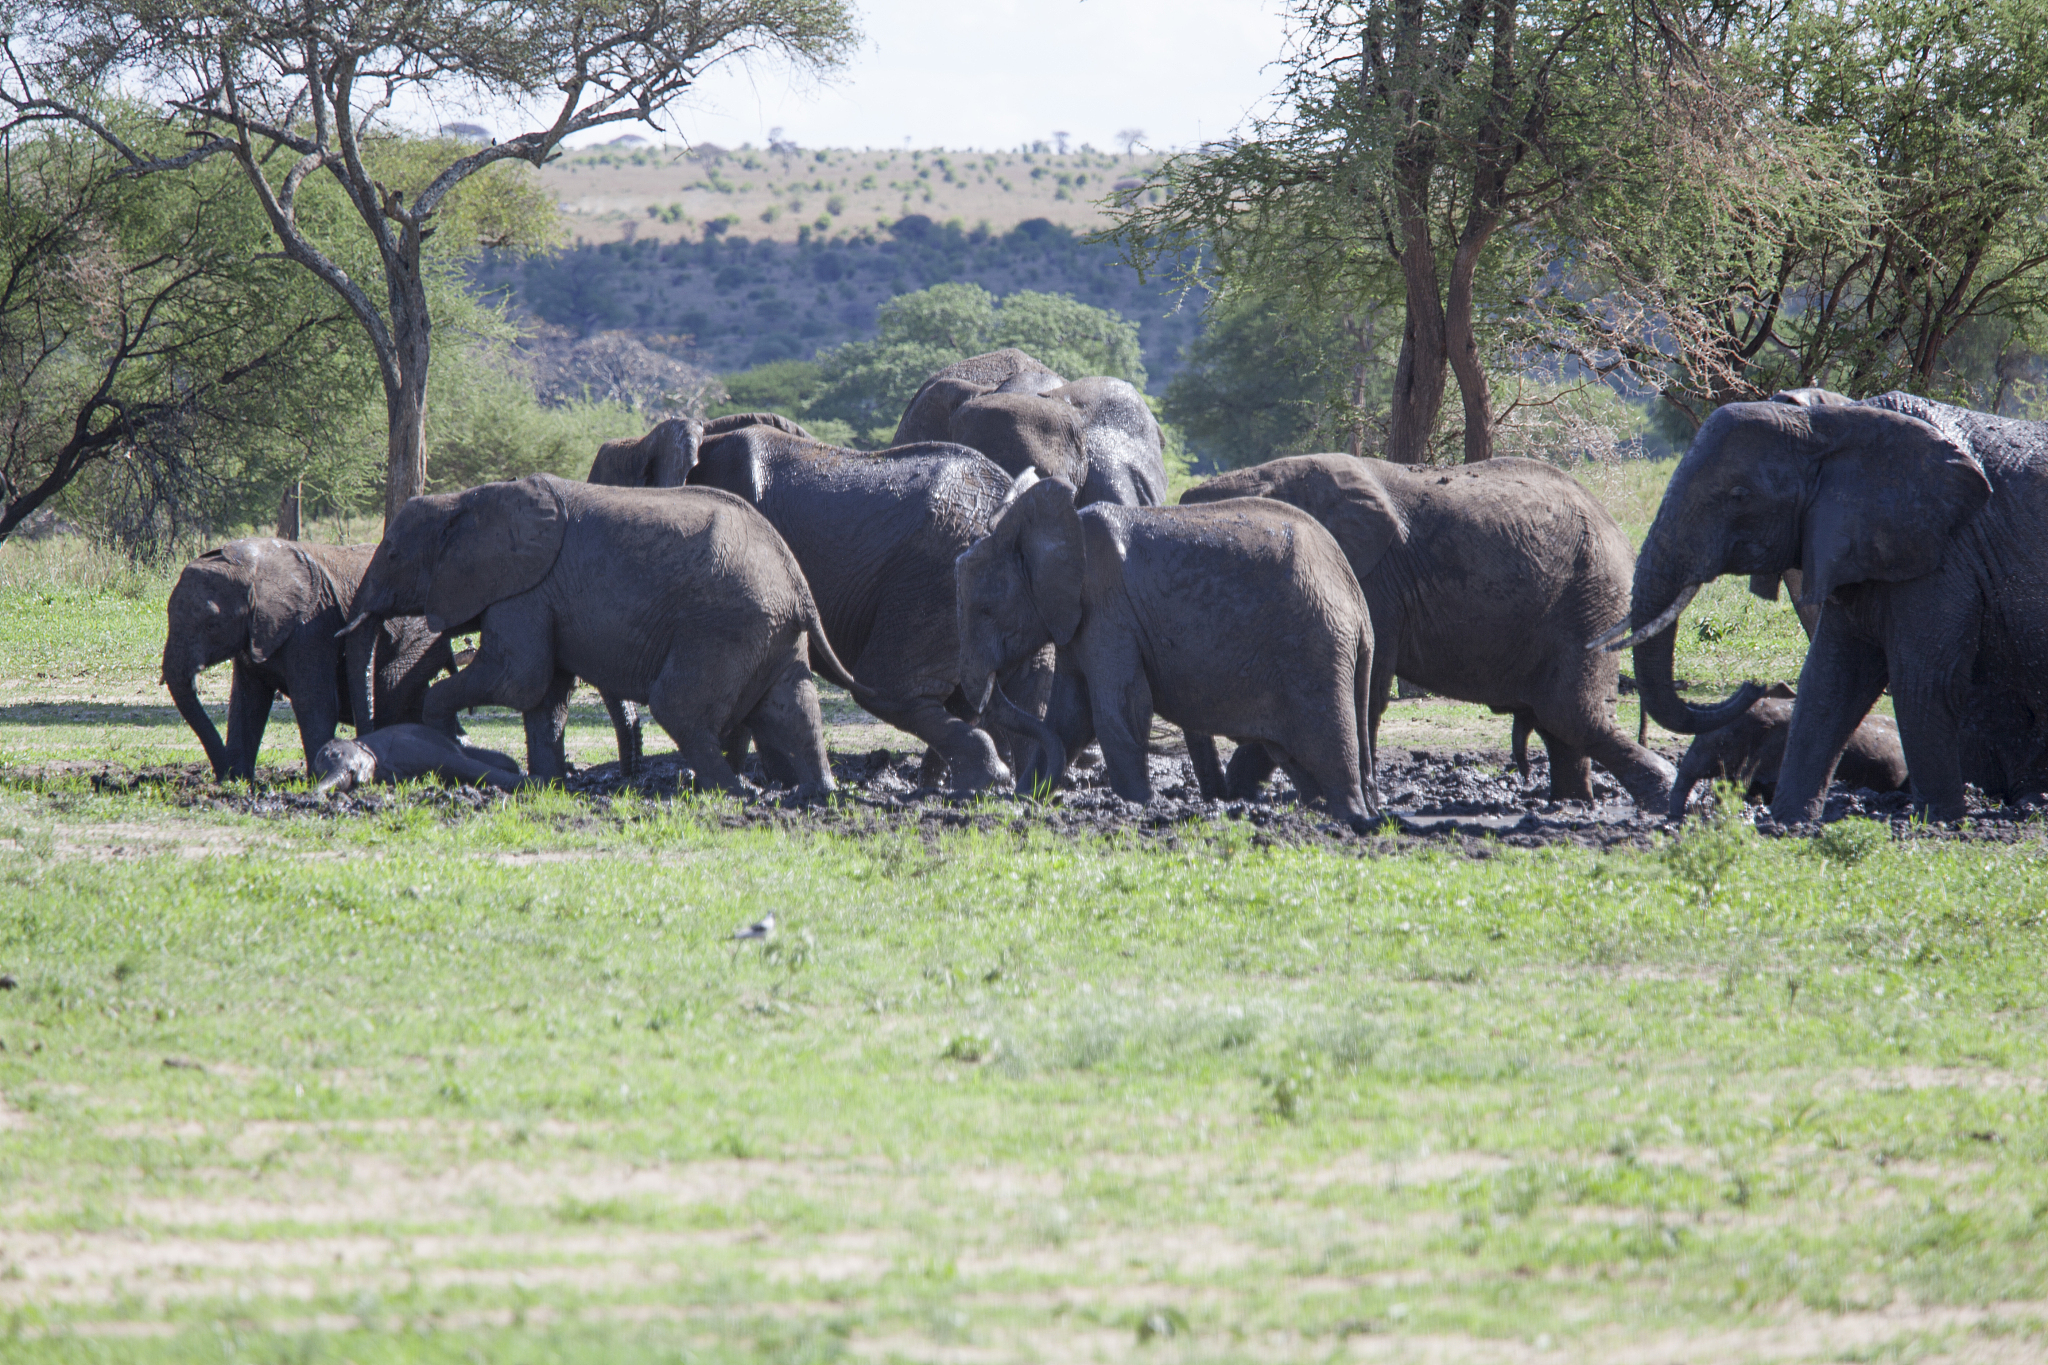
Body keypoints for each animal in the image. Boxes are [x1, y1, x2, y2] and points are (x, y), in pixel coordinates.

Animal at [162, 539, 453, 782]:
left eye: (212, 624)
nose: (224, 775)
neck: (254, 571)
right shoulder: (254, 634)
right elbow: (248, 703)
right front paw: (239, 782)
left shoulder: (311, 626)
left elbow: (313, 700)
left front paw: (315, 778)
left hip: (419, 636)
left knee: (389, 692)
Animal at [342, 474, 881, 798]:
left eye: (392, 554)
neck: (464, 500)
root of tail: (797, 580)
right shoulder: (539, 596)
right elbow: (546, 696)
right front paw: (546, 783)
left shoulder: (525, 593)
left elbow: (517, 681)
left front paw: (449, 736)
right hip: (770, 630)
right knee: (791, 705)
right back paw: (816, 794)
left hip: (723, 625)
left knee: (679, 705)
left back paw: (731, 790)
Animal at [956, 477, 1381, 832]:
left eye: (986, 611)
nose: (1032, 796)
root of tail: (1359, 604)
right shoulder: (1077, 625)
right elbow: (1069, 717)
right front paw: (1021, 801)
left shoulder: (1108, 611)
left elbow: (1118, 709)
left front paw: (1138, 807)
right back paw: (1324, 812)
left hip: (1314, 645)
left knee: (1327, 738)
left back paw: (1351, 821)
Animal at [1181, 454, 1675, 809]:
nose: (1217, 798)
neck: (1274, 471)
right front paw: (1248, 793)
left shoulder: (1373, 581)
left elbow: (1351, 689)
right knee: (1560, 720)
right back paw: (1572, 803)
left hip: (1590, 596)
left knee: (1568, 711)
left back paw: (1659, 796)